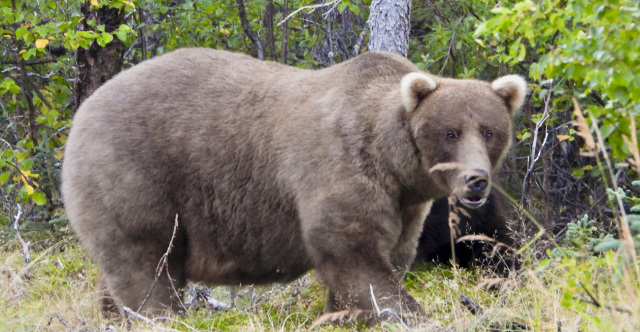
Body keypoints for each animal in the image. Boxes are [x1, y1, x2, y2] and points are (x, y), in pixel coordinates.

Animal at [60, 49, 524, 324]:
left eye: (489, 131)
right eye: (450, 132)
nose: (476, 180)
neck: (393, 163)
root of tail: (84, 108)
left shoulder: (405, 206)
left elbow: (388, 256)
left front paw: (340, 316)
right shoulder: (338, 167)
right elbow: (353, 255)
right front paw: (406, 313)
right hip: (136, 176)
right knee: (148, 268)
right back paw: (161, 317)